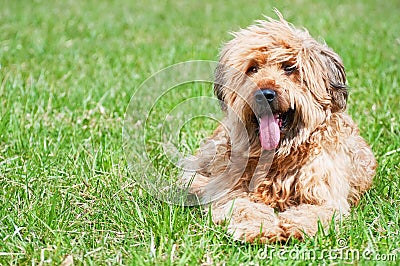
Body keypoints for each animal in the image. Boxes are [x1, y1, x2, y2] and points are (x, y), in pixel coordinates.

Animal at [183, 10, 376, 242]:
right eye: (253, 68)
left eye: (290, 68)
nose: (264, 94)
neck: (279, 156)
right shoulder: (233, 191)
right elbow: (242, 206)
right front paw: (260, 228)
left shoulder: (325, 195)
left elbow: (315, 210)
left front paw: (295, 226)